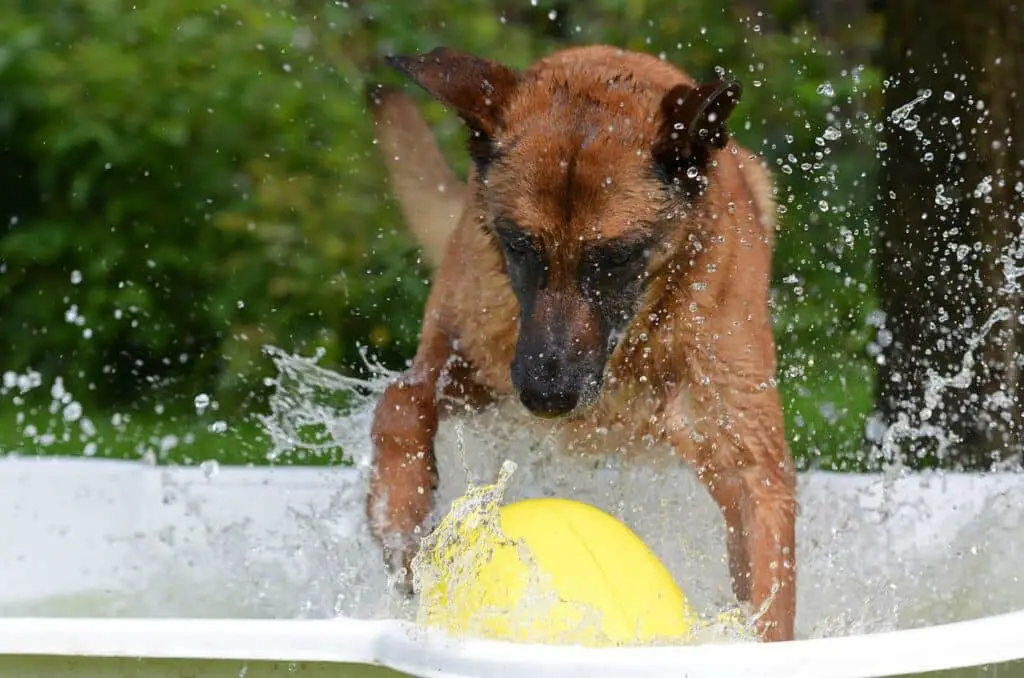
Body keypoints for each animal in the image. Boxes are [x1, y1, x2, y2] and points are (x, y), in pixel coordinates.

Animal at [364, 43, 794, 643]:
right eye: (520, 246)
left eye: (614, 259)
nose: (548, 397)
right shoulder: (472, 359)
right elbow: (401, 402)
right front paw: (399, 515)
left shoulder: (749, 461)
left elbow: (768, 586)